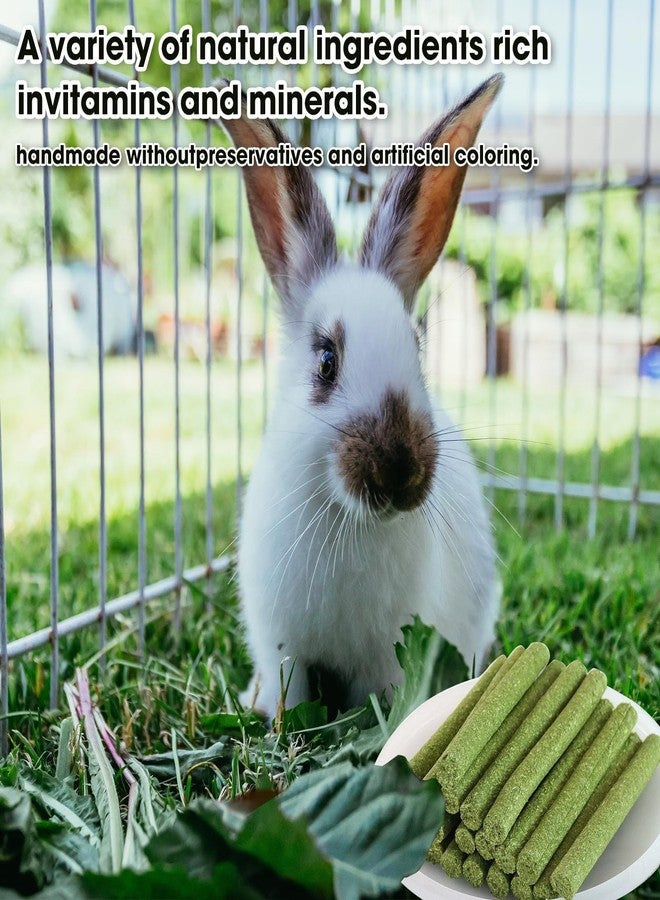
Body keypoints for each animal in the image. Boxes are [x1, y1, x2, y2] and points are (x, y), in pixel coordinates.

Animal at [220, 74, 503, 719]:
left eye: (418, 347)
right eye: (326, 360)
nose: (401, 470)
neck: (346, 519)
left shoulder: (388, 656)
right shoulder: (282, 646)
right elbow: (290, 693)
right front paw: (274, 718)